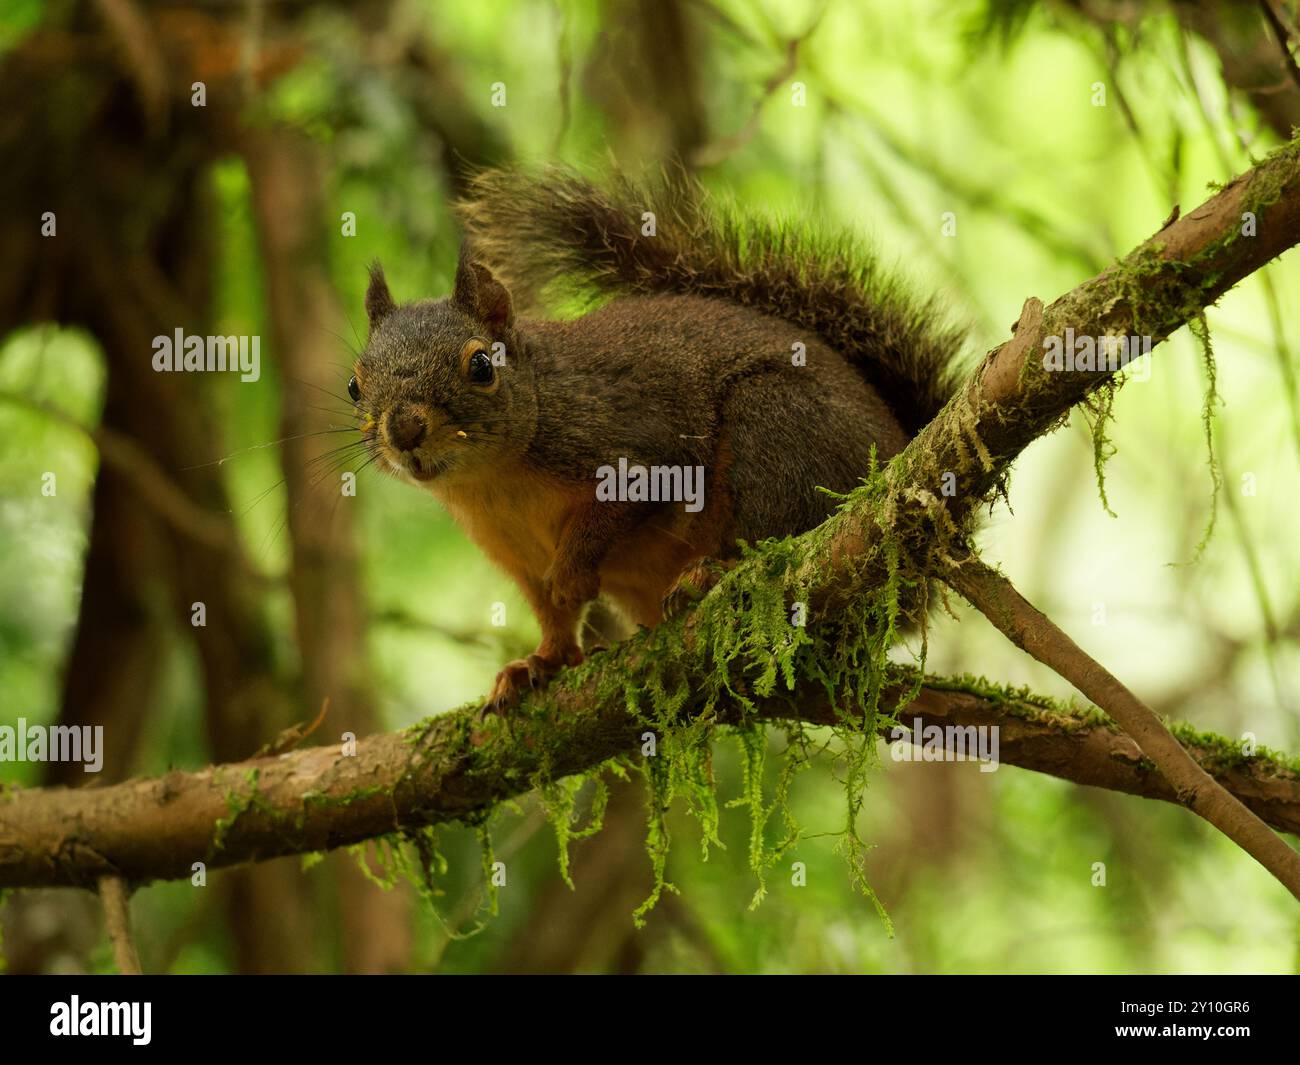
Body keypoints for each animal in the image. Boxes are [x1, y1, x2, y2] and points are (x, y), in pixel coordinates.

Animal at [351, 169, 963, 712]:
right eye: (355, 385)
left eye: (481, 366)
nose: (404, 430)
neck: (495, 481)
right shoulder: (516, 555)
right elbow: (550, 614)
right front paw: (540, 662)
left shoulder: (640, 443)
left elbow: (614, 511)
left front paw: (573, 572)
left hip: (777, 425)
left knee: (777, 537)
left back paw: (711, 574)